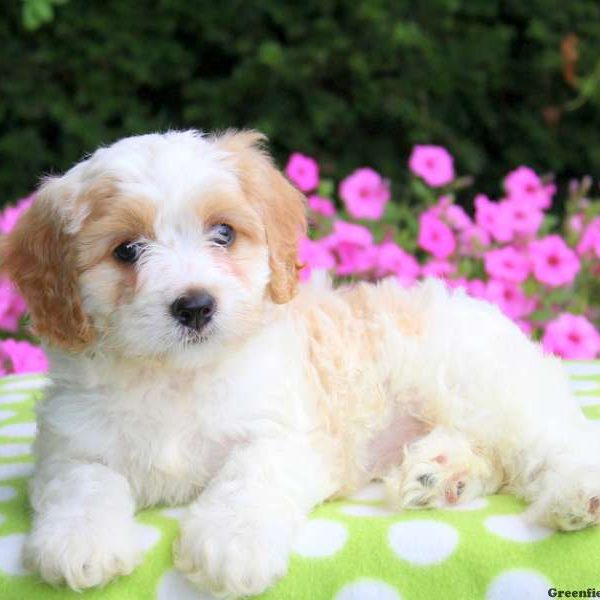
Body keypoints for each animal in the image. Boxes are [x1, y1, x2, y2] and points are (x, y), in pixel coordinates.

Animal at [2, 130, 596, 596]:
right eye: (126, 250)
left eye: (223, 233)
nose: (195, 306)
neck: (176, 377)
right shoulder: (70, 447)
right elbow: (83, 485)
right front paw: (79, 542)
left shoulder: (282, 435)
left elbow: (248, 478)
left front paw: (230, 542)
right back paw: (441, 473)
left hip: (484, 387)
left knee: (554, 441)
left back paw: (575, 494)